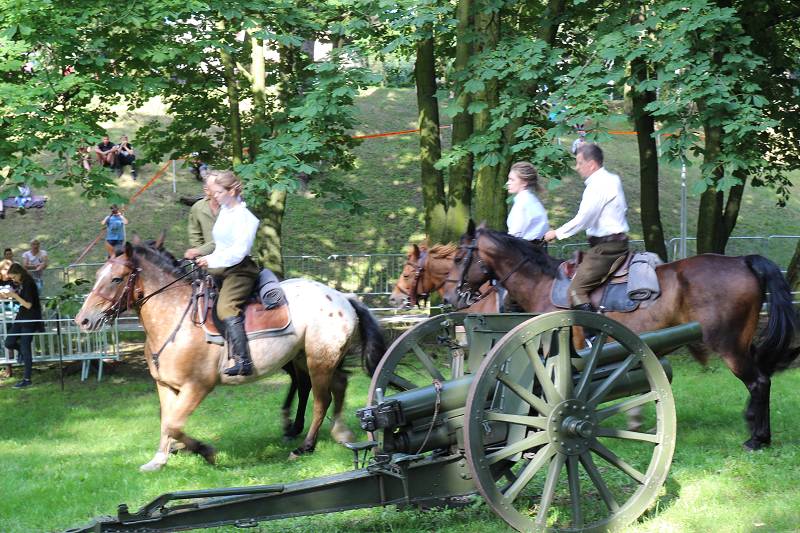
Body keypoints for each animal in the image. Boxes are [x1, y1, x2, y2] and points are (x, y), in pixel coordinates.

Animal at [75, 241, 386, 471]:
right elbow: (167, 423)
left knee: (322, 400)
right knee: (338, 385)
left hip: (318, 360)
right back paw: (340, 432)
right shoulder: (166, 386)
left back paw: (305, 447)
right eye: (98, 276)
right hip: (310, 358)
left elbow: (174, 425)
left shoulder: (197, 386)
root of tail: (343, 297)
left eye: (116, 279)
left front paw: (206, 451)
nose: (83, 320)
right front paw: (159, 459)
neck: (175, 319)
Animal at [443, 223, 799, 451]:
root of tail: (743, 260)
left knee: (758, 382)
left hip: (729, 347)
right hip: (743, 344)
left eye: (459, 257)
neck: (542, 285)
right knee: (763, 379)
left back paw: (756, 438)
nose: (451, 297)